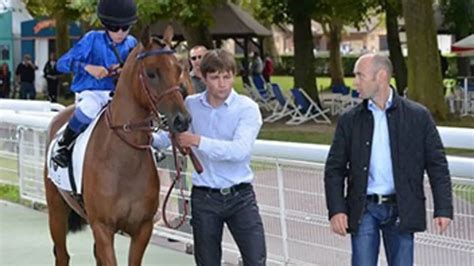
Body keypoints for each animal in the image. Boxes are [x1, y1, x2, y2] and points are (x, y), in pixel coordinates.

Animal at [43, 26, 192, 264]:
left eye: (178, 69)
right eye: (151, 73)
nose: (182, 120)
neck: (124, 160)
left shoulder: (142, 228)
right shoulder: (103, 226)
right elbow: (66, 60)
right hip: (57, 209)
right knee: (62, 254)